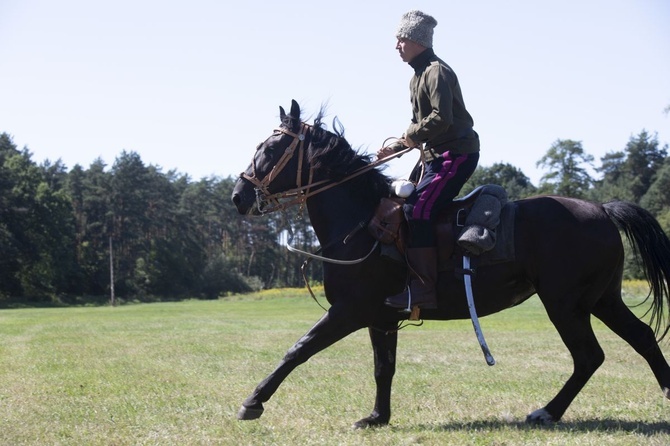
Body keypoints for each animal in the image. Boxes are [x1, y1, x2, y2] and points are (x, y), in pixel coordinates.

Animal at [232, 99, 670, 426]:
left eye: (270, 149)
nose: (239, 196)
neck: (362, 222)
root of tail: (602, 210)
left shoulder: (349, 311)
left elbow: (298, 349)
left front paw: (253, 401)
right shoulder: (380, 318)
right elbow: (383, 367)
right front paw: (377, 416)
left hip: (566, 304)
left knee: (589, 356)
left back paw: (547, 411)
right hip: (601, 299)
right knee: (641, 337)